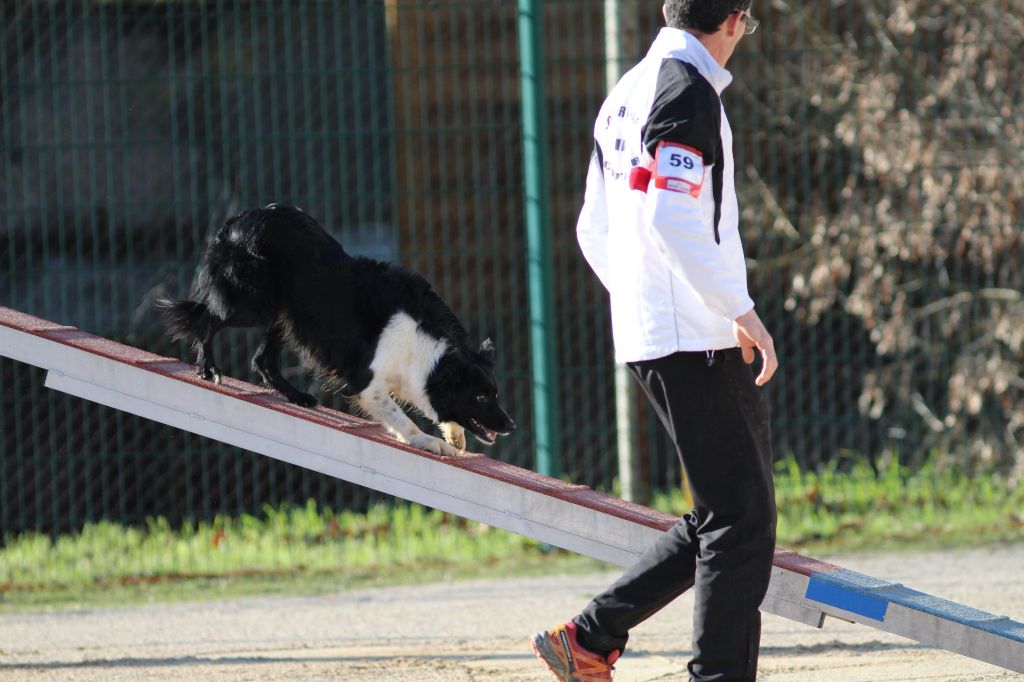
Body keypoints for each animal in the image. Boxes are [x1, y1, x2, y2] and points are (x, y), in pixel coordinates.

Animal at [156, 204, 516, 454]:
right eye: (482, 395)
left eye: (495, 393)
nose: (511, 425)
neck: (429, 349)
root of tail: (239, 221)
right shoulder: (367, 383)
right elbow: (401, 417)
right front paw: (428, 441)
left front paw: (454, 435)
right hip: (252, 304)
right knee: (207, 318)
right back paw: (208, 368)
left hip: (286, 314)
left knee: (261, 359)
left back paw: (298, 397)